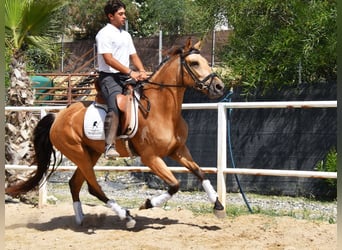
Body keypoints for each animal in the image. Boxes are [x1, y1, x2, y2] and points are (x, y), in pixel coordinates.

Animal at [6, 37, 224, 229]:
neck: (162, 110)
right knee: (93, 187)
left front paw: (218, 206)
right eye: (194, 63)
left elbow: (200, 173)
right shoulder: (150, 157)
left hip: (91, 154)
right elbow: (174, 185)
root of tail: (58, 117)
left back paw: (80, 218)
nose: (219, 86)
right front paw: (147, 204)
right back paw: (126, 217)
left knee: (75, 184)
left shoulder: (178, 150)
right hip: (79, 154)